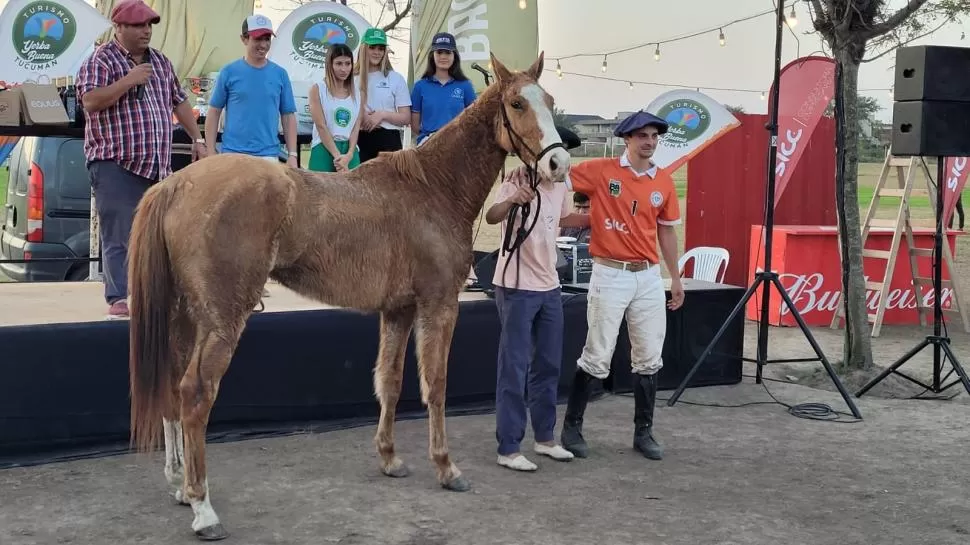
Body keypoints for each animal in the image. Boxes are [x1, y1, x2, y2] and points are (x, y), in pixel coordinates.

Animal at [125, 52, 572, 540]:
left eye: (550, 100)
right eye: (516, 104)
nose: (559, 164)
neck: (432, 188)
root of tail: (176, 184)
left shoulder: (398, 311)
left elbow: (390, 381)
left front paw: (390, 458)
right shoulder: (439, 305)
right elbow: (435, 385)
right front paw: (446, 468)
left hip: (185, 316)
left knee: (172, 385)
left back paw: (181, 485)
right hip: (222, 319)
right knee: (195, 394)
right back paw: (203, 506)